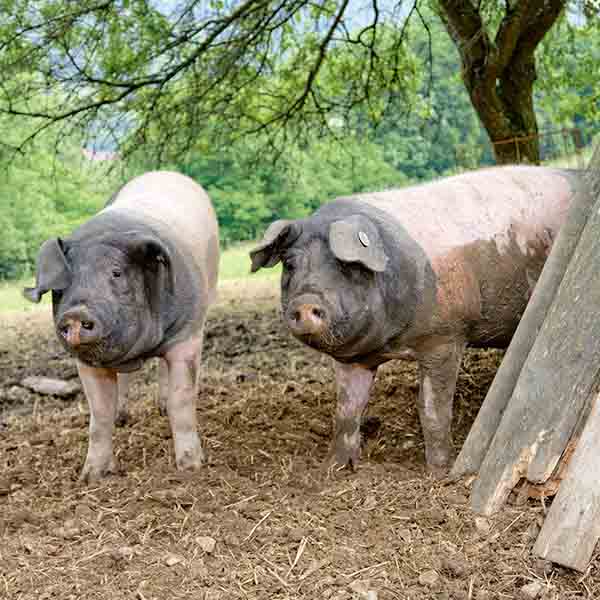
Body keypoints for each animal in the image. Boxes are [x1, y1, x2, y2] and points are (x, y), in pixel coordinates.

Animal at [25, 170, 220, 482]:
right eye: (61, 286)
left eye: (116, 273)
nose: (76, 313)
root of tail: (167, 173)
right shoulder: (87, 363)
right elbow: (99, 416)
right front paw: (90, 477)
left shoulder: (187, 336)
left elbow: (181, 400)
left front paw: (191, 467)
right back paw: (123, 416)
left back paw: (160, 408)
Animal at [251, 165, 584, 474]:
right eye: (290, 264)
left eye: (345, 265)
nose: (305, 302)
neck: (394, 343)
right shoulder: (352, 359)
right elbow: (346, 410)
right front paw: (334, 468)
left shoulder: (446, 337)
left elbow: (431, 409)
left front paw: (438, 472)